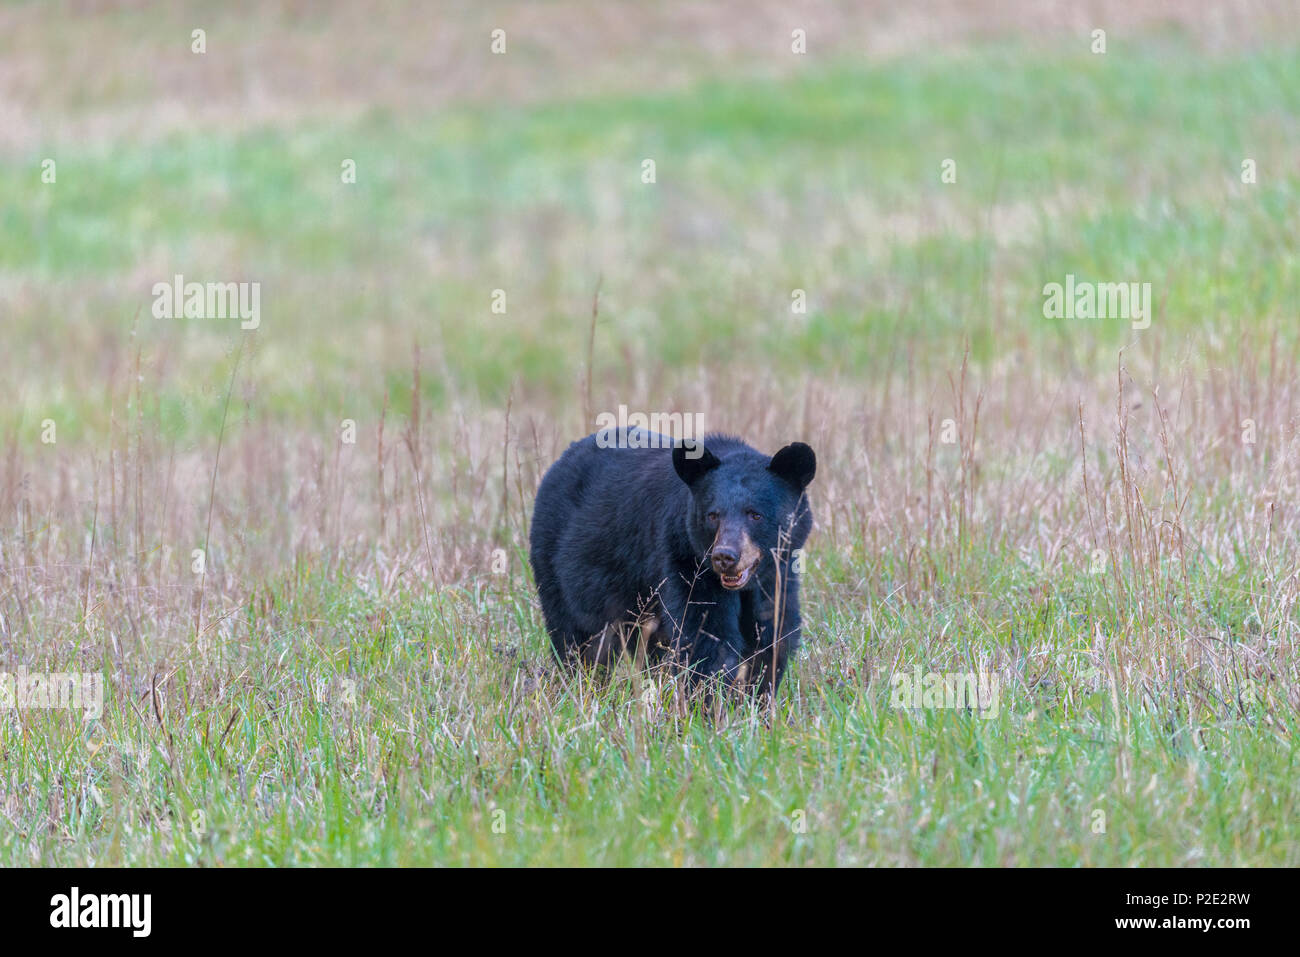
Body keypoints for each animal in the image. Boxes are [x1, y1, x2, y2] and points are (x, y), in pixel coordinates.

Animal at [529, 429, 815, 696]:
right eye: (713, 515)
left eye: (755, 514)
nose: (725, 556)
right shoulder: (684, 558)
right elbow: (705, 634)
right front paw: (711, 703)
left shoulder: (778, 574)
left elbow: (771, 633)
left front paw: (758, 698)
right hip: (560, 568)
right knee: (576, 637)